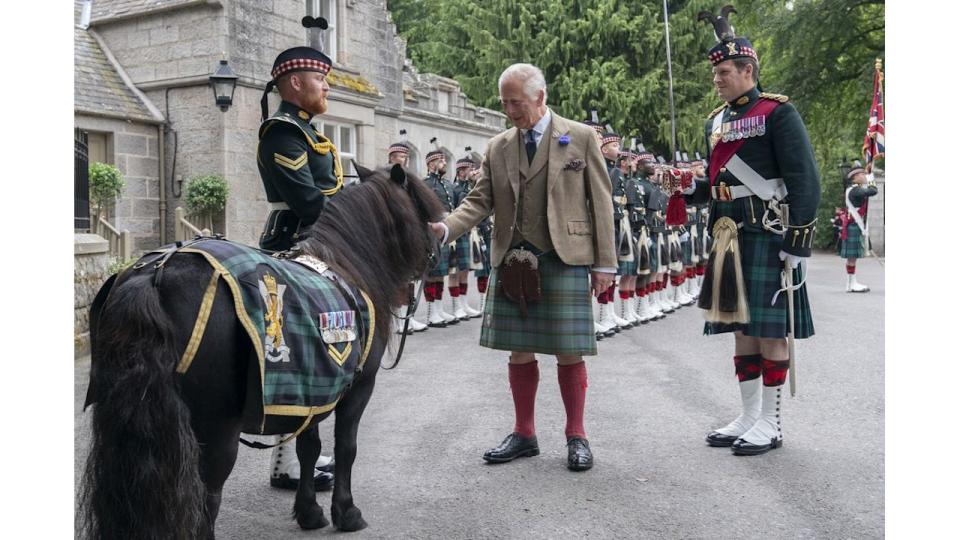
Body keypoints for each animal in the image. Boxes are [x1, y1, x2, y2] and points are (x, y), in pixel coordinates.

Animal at [79, 166, 446, 540]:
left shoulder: (314, 387)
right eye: (422, 205)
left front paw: (309, 511)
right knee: (206, 500)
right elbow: (346, 447)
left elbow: (308, 447)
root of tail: (157, 272)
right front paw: (346, 512)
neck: (346, 264)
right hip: (215, 429)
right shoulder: (358, 387)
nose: (440, 241)